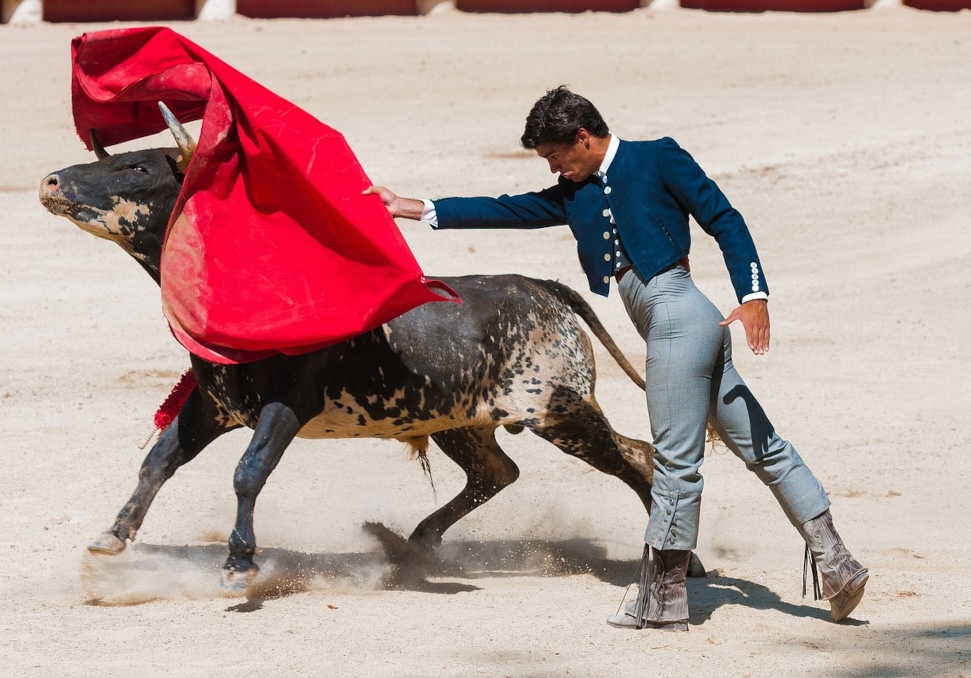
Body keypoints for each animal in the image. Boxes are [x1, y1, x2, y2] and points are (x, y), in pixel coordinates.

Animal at [38, 103, 660, 592]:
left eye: (136, 166)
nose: (50, 183)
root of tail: (541, 287)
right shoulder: (213, 406)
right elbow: (159, 461)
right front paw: (111, 538)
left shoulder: (287, 405)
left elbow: (247, 470)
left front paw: (239, 565)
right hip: (461, 420)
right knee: (497, 472)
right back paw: (410, 545)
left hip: (558, 411)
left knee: (632, 456)